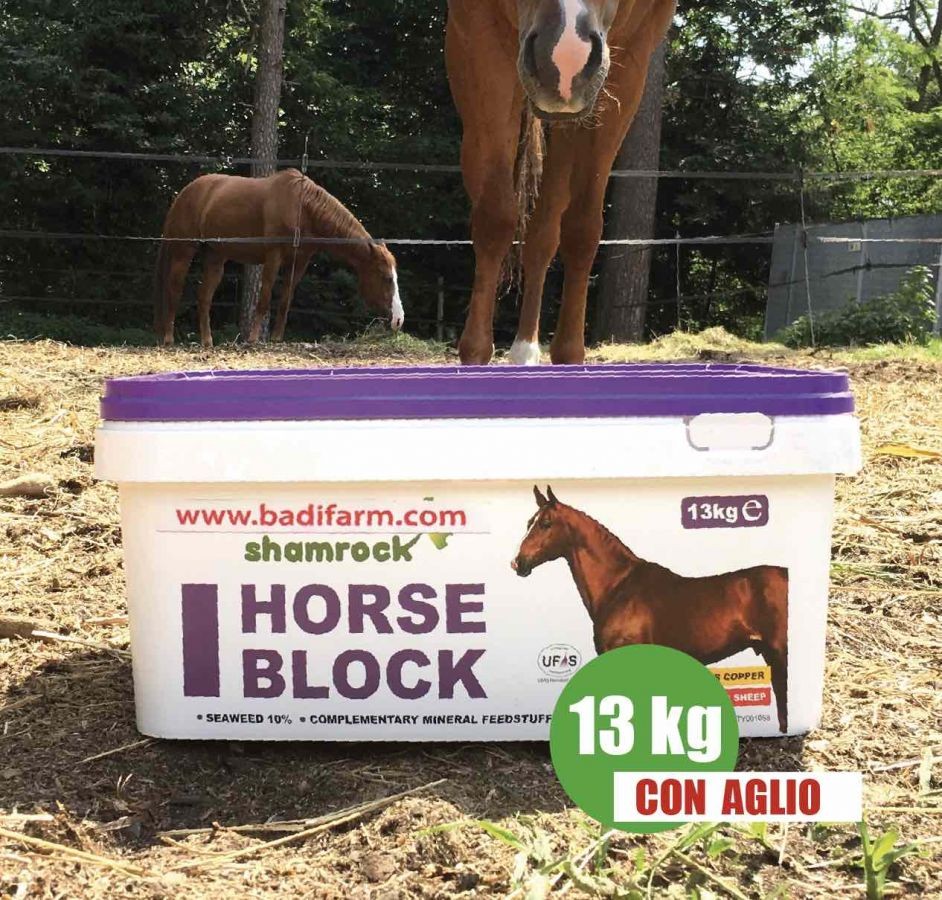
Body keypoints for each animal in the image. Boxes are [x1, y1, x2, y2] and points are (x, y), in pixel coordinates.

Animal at [153, 169, 404, 348]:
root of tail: (184, 193)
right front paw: (253, 339)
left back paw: (207, 342)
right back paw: (169, 339)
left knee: (204, 296)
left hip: (216, 257)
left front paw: (276, 337)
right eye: (385, 277)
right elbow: (264, 299)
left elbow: (285, 300)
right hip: (183, 251)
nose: (399, 320)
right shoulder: (273, 257)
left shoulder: (299, 262)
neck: (302, 207)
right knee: (174, 291)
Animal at [446, 0, 675, 366]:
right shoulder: (479, 40)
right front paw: (476, 352)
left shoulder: (630, 62)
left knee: (544, 233)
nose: (565, 62)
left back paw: (526, 350)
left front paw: (569, 352)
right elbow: (496, 220)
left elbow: (582, 231)